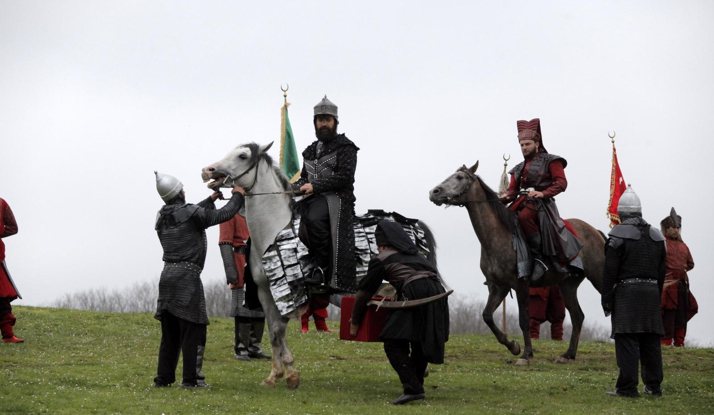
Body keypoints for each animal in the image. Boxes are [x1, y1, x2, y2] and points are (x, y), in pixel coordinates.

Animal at [202, 141, 302, 388]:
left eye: (242, 156)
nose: (207, 170)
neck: (275, 230)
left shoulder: (287, 292)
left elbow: (278, 328)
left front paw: (289, 372)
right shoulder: (265, 291)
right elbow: (274, 330)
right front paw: (277, 373)